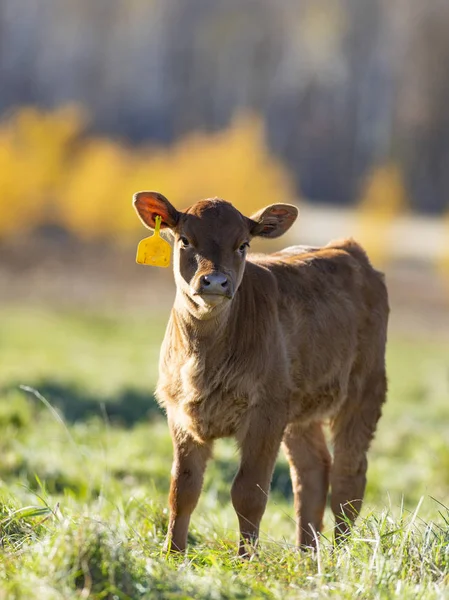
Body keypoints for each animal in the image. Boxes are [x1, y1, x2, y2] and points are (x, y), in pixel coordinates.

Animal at [131, 191, 386, 552]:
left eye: (243, 245)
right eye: (185, 240)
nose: (215, 281)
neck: (203, 355)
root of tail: (346, 247)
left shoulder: (264, 414)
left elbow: (248, 493)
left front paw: (245, 558)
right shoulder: (179, 413)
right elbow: (182, 491)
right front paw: (173, 555)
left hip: (364, 390)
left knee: (348, 475)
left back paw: (340, 553)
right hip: (298, 408)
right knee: (312, 471)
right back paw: (306, 554)